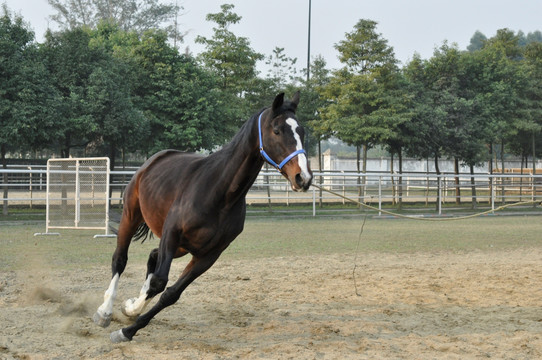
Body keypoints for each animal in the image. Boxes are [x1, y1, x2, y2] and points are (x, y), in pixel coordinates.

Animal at [93, 91, 314, 342]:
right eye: (277, 130)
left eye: (301, 131)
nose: (303, 177)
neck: (220, 194)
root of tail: (154, 159)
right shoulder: (171, 234)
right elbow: (159, 282)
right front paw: (125, 326)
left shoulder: (209, 255)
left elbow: (170, 293)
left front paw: (130, 323)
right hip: (132, 217)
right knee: (120, 259)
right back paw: (105, 311)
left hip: (182, 247)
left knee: (152, 257)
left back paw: (130, 307)